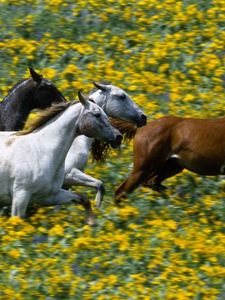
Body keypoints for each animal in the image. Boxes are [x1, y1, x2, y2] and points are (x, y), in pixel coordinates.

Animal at [0, 91, 122, 225]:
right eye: (97, 114)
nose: (118, 137)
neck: (41, 151)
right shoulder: (21, 196)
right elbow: (17, 222)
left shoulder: (50, 196)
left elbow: (83, 198)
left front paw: (92, 221)